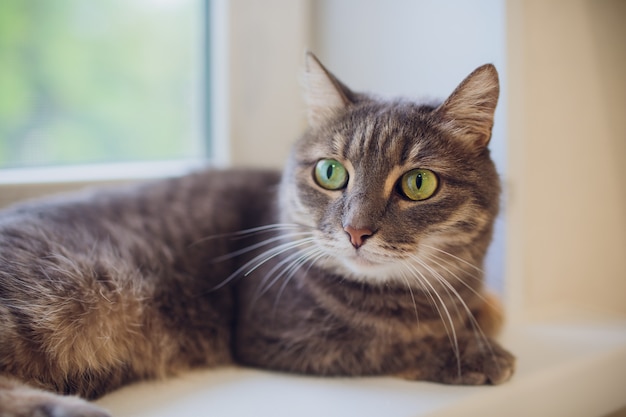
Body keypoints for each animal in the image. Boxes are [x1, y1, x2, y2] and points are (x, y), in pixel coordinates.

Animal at [0, 52, 512, 416]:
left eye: (418, 183)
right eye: (330, 172)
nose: (356, 231)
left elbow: (485, 311)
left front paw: (482, 320)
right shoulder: (276, 334)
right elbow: (384, 344)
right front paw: (470, 354)